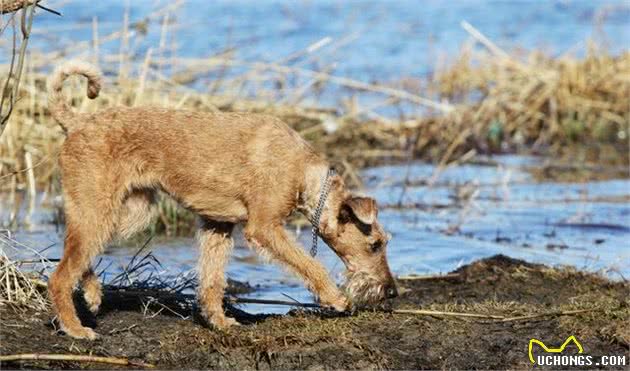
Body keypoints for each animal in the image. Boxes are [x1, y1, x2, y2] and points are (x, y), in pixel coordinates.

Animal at [47, 60, 398, 340]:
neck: (301, 169)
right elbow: (309, 264)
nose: (392, 291)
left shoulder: (218, 225)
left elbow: (213, 281)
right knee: (60, 275)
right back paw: (76, 329)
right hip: (99, 209)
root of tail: (78, 122)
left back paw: (92, 293)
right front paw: (335, 299)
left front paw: (220, 322)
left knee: (77, 255)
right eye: (376, 244)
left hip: (130, 213)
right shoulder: (264, 227)